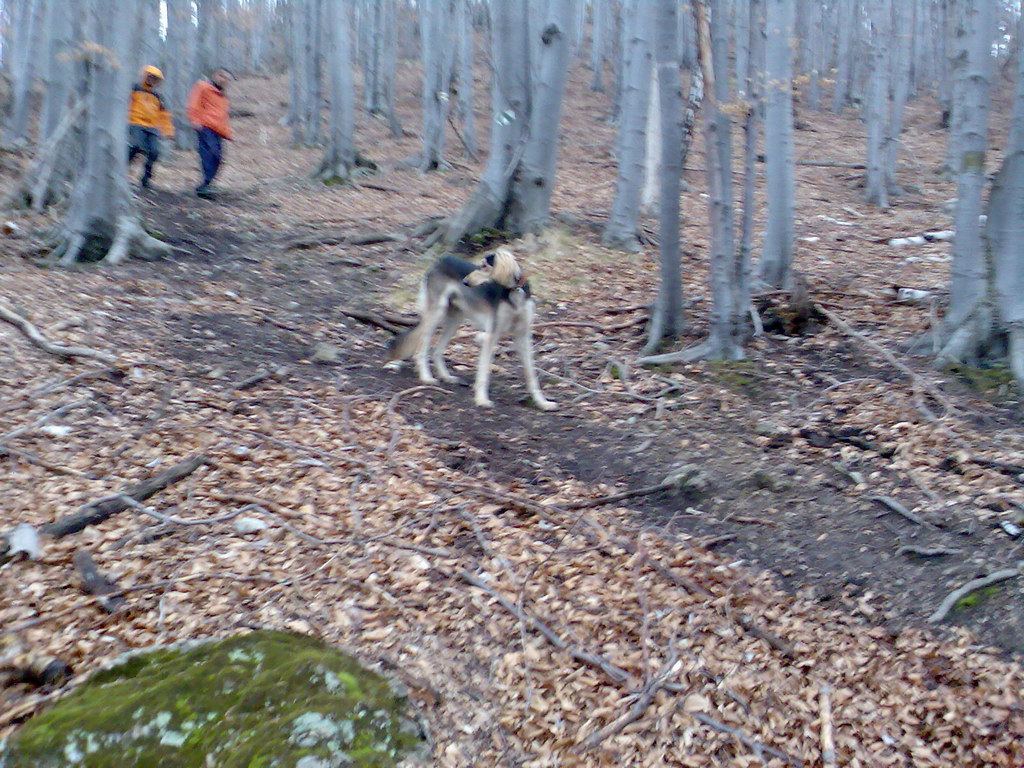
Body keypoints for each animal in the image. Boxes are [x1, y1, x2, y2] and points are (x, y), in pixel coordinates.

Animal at [385, 249, 561, 411]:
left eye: (484, 266)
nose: (465, 282)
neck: (514, 292)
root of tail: (441, 259)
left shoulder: (523, 336)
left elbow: (532, 375)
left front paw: (543, 402)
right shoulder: (492, 335)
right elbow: (484, 372)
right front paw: (482, 399)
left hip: (455, 319)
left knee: (437, 350)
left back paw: (446, 377)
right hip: (437, 313)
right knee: (421, 349)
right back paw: (427, 377)